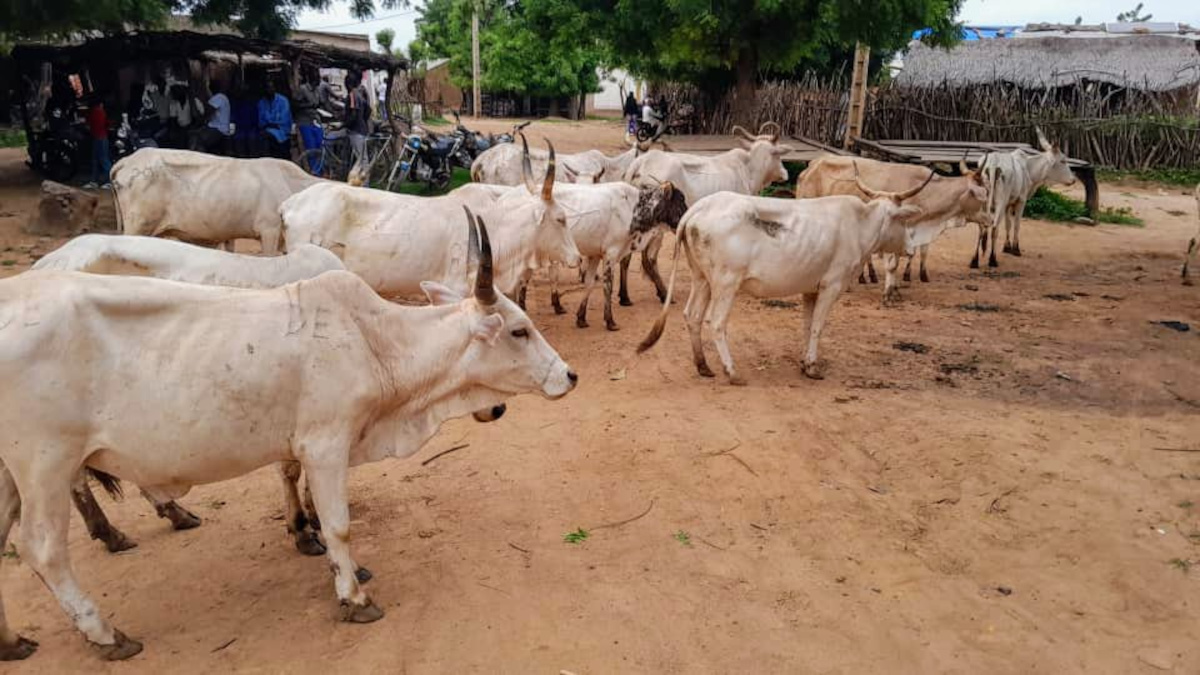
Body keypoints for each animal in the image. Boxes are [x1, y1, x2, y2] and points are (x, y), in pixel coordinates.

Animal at [31, 234, 348, 554]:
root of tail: (47, 263)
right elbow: (291, 470)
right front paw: (302, 530)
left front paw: (313, 514)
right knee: (76, 480)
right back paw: (112, 533)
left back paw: (174, 514)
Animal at [796, 154, 984, 302]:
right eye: (982, 193)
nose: (989, 218)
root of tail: (812, 165)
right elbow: (893, 263)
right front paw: (889, 292)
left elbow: (908, 257)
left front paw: (897, 289)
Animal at [974, 126, 1080, 265]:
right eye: (1063, 160)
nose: (1073, 180)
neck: (1028, 169)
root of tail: (992, 164)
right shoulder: (1021, 201)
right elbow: (1017, 225)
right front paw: (1015, 249)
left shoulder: (1009, 204)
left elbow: (1008, 224)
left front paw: (1007, 247)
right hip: (999, 202)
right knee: (995, 228)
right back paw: (992, 260)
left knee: (981, 227)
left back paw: (974, 261)